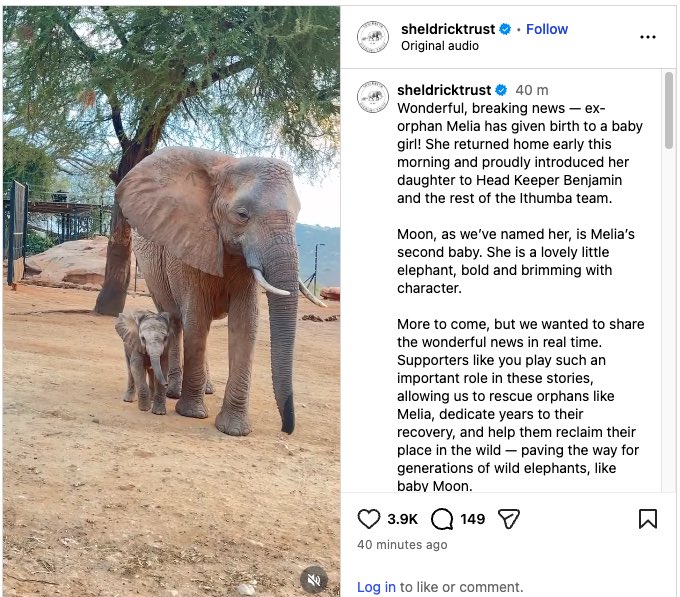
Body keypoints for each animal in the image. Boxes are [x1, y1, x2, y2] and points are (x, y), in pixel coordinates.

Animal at [116, 146, 323, 436]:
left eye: (298, 215)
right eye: (242, 215)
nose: (287, 429)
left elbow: (245, 323)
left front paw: (234, 430)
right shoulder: (186, 245)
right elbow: (196, 317)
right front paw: (192, 414)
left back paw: (207, 389)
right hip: (151, 271)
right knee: (176, 320)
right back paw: (174, 392)